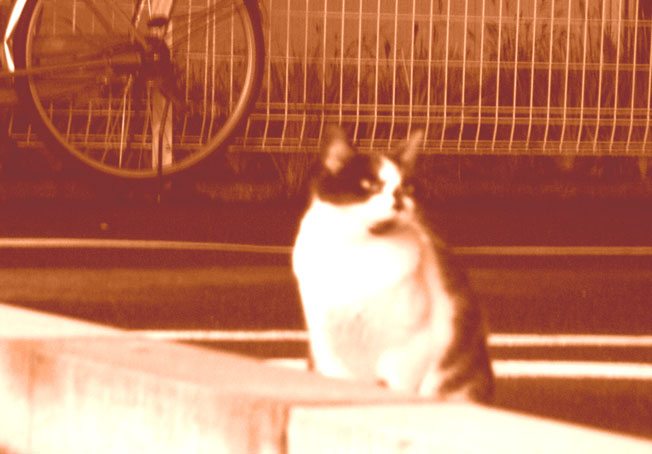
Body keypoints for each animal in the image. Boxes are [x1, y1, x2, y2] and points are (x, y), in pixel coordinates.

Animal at [292, 125, 494, 403]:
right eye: (369, 184)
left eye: (407, 186)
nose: (398, 197)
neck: (360, 250)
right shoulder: (327, 347)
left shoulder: (409, 350)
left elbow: (398, 389)